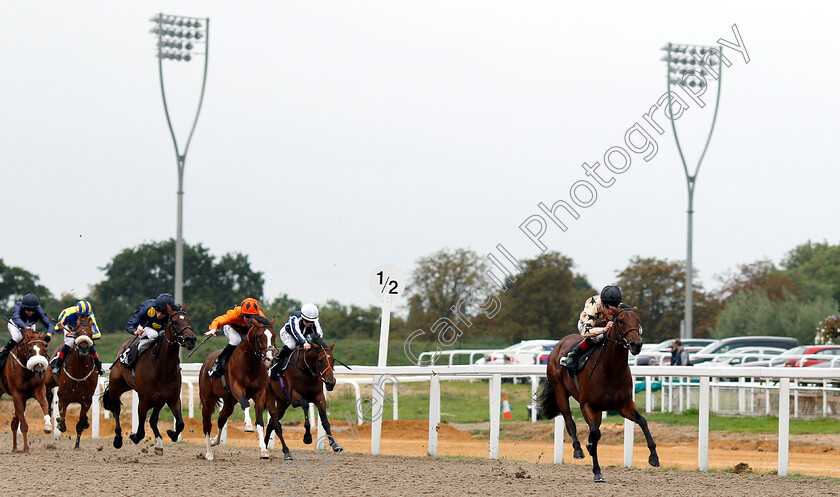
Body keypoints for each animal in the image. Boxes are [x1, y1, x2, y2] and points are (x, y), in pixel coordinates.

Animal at [46, 318, 99, 450]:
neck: (79, 373)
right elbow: (62, 419)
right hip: (48, 382)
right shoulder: (63, 398)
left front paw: (77, 445)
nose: (84, 347)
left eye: (90, 334)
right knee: (48, 396)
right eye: (78, 333)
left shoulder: (86, 401)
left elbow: (80, 424)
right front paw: (59, 423)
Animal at [101, 302, 197, 454]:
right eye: (175, 322)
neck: (162, 369)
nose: (190, 339)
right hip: (117, 386)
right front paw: (133, 436)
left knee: (153, 419)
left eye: (189, 321)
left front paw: (171, 433)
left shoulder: (172, 397)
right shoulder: (144, 399)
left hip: (157, 398)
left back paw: (158, 443)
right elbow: (140, 430)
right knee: (116, 409)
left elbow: (180, 423)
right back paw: (118, 439)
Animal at [199, 316, 274, 460]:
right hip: (207, 401)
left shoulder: (260, 393)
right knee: (207, 425)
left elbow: (260, 422)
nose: (269, 358)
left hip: (229, 402)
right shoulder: (237, 388)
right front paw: (248, 425)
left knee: (221, 418)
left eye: (273, 335)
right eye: (259, 336)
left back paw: (214, 441)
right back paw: (209, 453)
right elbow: (245, 404)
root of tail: (206, 362)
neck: (250, 364)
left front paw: (264, 451)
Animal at [536, 304, 660, 482]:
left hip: (599, 410)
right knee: (570, 422)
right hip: (560, 391)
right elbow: (594, 433)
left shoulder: (624, 405)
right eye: (620, 320)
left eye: (638, 320)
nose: (636, 344)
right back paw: (578, 449)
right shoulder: (587, 405)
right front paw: (597, 472)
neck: (611, 370)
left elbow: (642, 421)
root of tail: (558, 344)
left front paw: (654, 457)